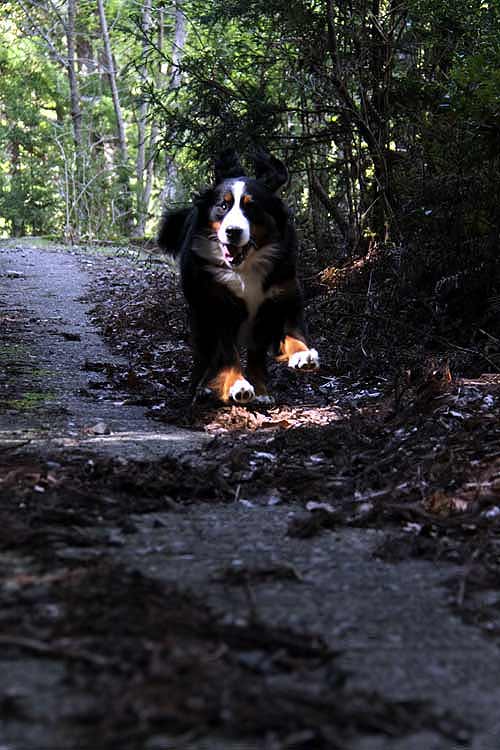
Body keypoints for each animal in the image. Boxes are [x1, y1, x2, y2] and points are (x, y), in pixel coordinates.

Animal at [158, 148, 318, 406]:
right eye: (223, 206)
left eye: (251, 207)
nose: (233, 232)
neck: (246, 268)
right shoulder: (217, 305)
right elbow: (227, 353)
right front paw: (237, 385)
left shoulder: (282, 296)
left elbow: (291, 332)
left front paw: (303, 354)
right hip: (199, 317)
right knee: (204, 357)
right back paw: (199, 389)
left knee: (254, 353)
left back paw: (261, 391)